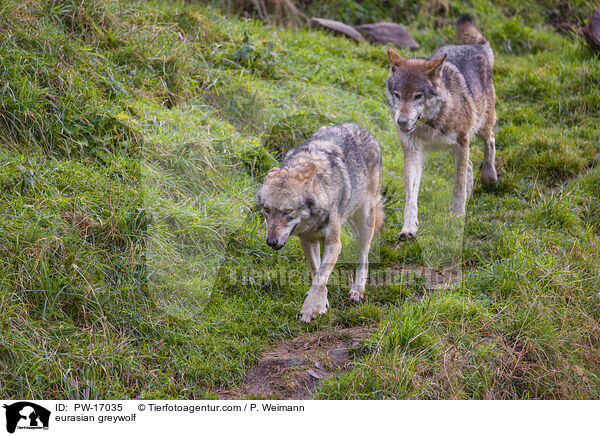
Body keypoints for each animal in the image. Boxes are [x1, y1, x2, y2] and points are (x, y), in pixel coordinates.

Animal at [255, 122, 382, 324]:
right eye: (267, 210)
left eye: (288, 212)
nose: (271, 242)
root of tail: (358, 126)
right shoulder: (307, 240)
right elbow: (317, 272)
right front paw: (320, 303)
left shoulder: (334, 242)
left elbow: (321, 276)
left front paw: (310, 309)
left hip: (364, 219)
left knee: (365, 255)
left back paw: (357, 289)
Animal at [386, 14, 500, 238]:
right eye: (397, 95)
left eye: (418, 96)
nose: (401, 122)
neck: (430, 124)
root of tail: (476, 47)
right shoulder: (413, 152)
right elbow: (411, 194)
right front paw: (408, 227)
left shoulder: (462, 142)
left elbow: (457, 185)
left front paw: (457, 218)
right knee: (470, 165)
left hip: (480, 128)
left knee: (490, 141)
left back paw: (489, 176)